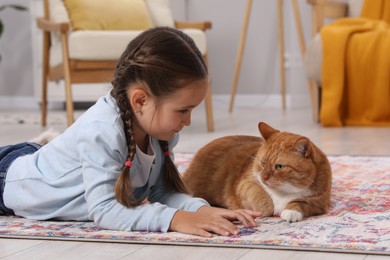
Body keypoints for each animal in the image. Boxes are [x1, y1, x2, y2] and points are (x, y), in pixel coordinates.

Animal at [184, 122, 332, 221]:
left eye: (279, 167)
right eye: (262, 163)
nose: (264, 177)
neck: (283, 192)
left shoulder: (320, 201)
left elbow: (302, 202)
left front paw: (291, 211)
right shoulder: (245, 183)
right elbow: (260, 196)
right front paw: (265, 210)